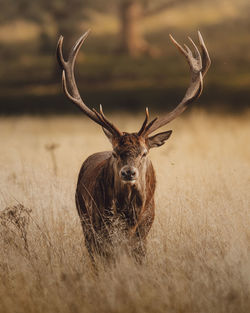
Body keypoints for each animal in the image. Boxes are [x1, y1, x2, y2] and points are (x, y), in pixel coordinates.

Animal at [55, 29, 210, 264]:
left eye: (144, 153)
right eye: (115, 153)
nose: (129, 172)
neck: (127, 214)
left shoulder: (143, 231)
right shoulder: (101, 227)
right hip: (84, 217)